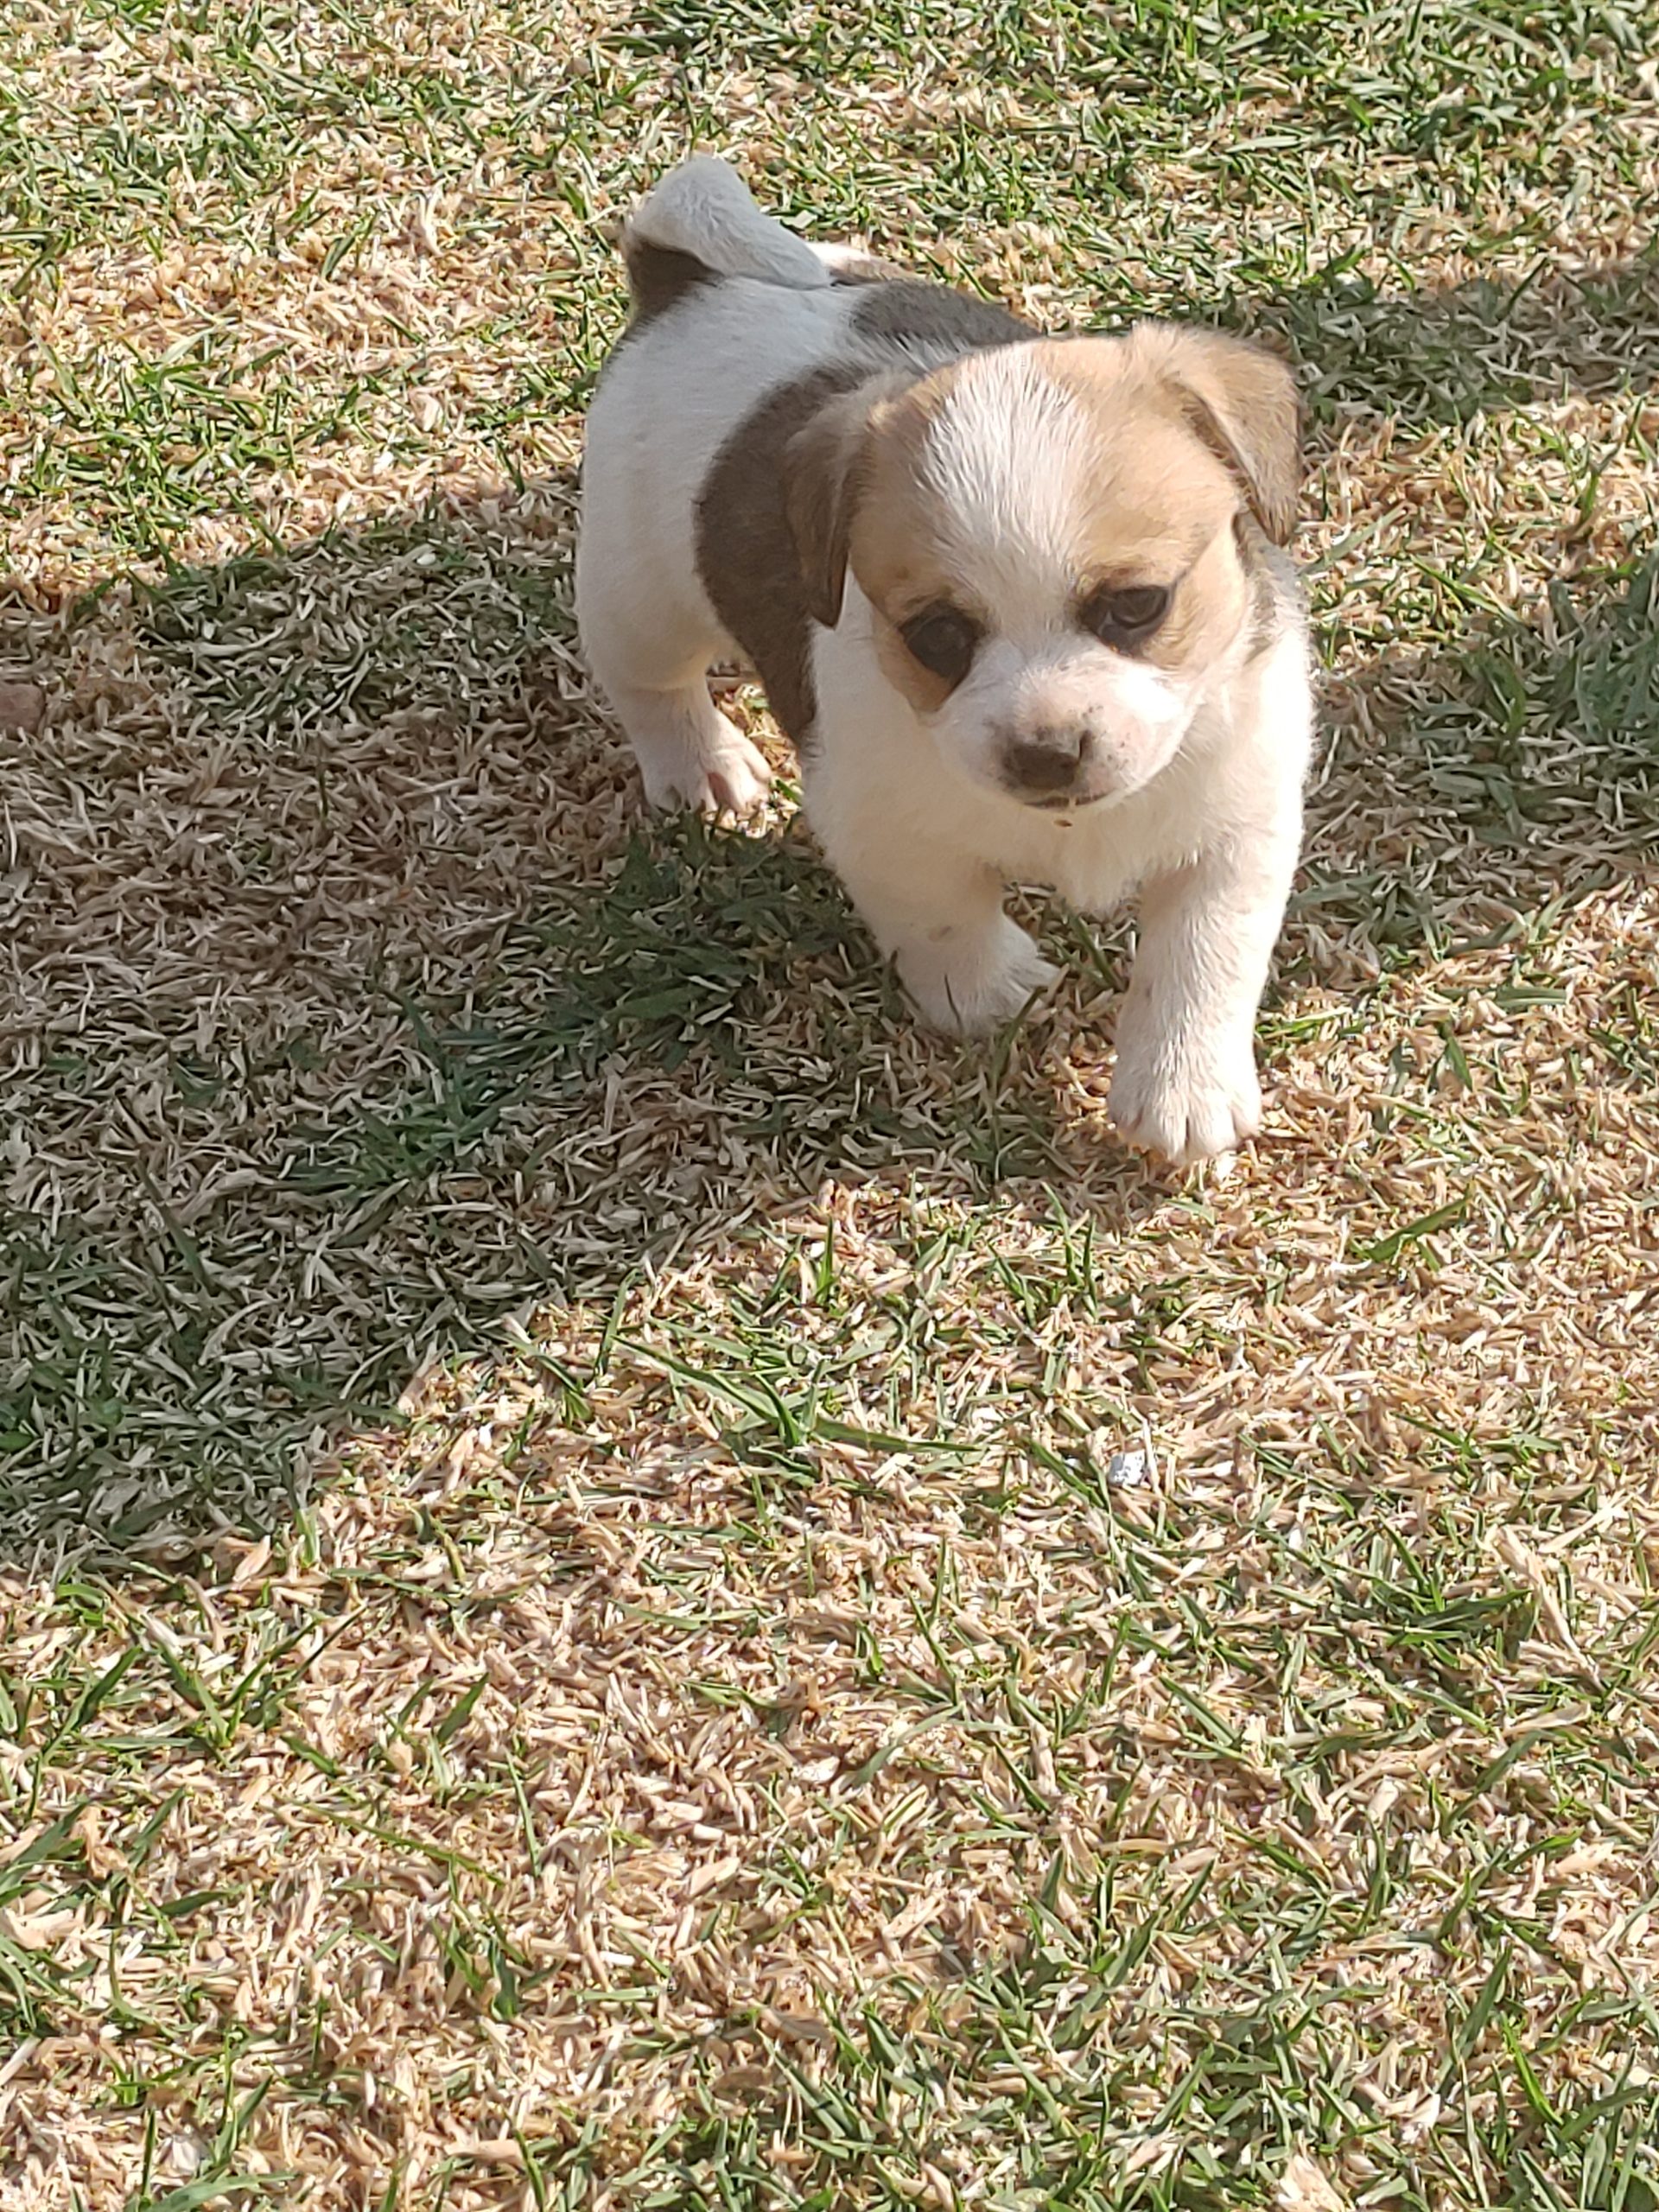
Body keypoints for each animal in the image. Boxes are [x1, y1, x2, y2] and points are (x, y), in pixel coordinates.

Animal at [579, 158, 1318, 1167]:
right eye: (938, 637)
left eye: (1137, 606)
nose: (1047, 752)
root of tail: (685, 281)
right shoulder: (882, 826)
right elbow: (941, 912)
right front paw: (986, 987)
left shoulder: (1237, 821)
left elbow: (1204, 954)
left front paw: (1182, 1085)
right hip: (638, 596)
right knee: (651, 685)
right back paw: (702, 765)